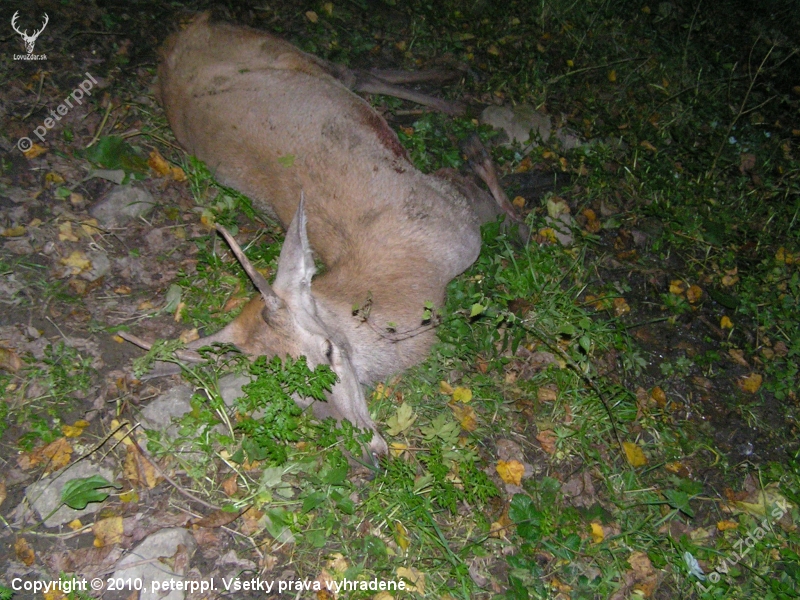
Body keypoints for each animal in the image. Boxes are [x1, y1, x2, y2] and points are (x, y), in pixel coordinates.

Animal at [123, 13, 523, 460]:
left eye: (328, 350)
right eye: (287, 389)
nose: (367, 452)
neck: (417, 282)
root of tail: (187, 30)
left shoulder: (459, 218)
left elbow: (506, 213)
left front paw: (478, 150)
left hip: (277, 47)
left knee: (352, 69)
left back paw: (459, 93)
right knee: (359, 71)